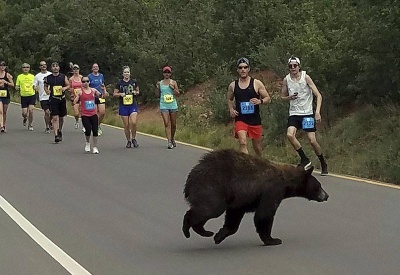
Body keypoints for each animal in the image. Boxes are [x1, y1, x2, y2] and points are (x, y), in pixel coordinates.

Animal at [183, 150, 330, 247]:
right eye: (319, 186)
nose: (327, 195)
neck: (287, 182)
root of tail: (189, 180)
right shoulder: (272, 191)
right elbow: (264, 215)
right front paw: (273, 239)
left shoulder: (241, 198)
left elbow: (234, 215)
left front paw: (220, 235)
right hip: (211, 187)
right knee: (211, 209)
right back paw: (191, 229)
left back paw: (204, 231)